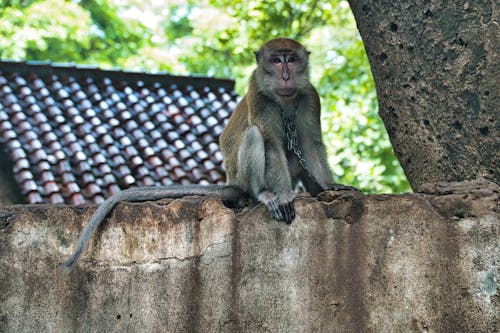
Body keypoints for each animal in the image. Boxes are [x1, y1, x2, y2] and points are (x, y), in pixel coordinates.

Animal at [60, 37, 358, 270]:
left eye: (291, 60)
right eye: (276, 60)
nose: (285, 74)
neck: (284, 97)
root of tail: (231, 181)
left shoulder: (309, 96)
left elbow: (311, 143)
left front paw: (330, 185)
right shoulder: (258, 93)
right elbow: (271, 142)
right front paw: (284, 196)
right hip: (241, 177)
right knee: (254, 136)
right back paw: (262, 194)